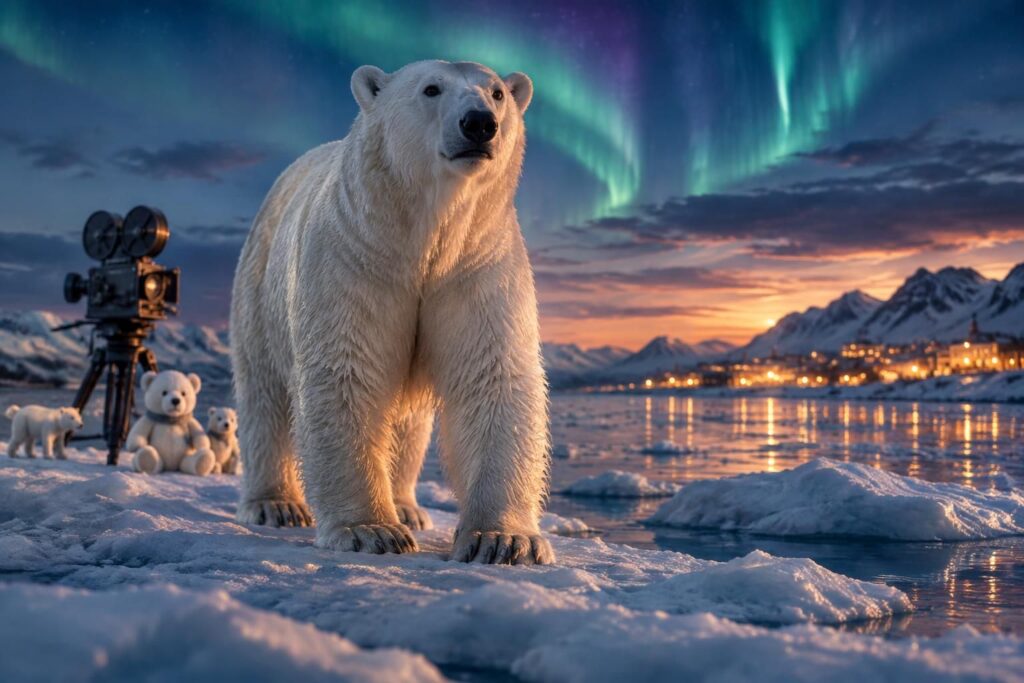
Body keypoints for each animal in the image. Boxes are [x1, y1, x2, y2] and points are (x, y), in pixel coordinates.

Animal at [230, 60, 552, 565]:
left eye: (498, 92)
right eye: (431, 89)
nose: (479, 123)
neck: (422, 239)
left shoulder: (476, 264)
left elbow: (492, 376)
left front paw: (501, 540)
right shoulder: (355, 258)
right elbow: (347, 371)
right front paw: (372, 530)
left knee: (407, 422)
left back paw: (406, 506)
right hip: (259, 286)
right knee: (264, 394)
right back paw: (275, 503)